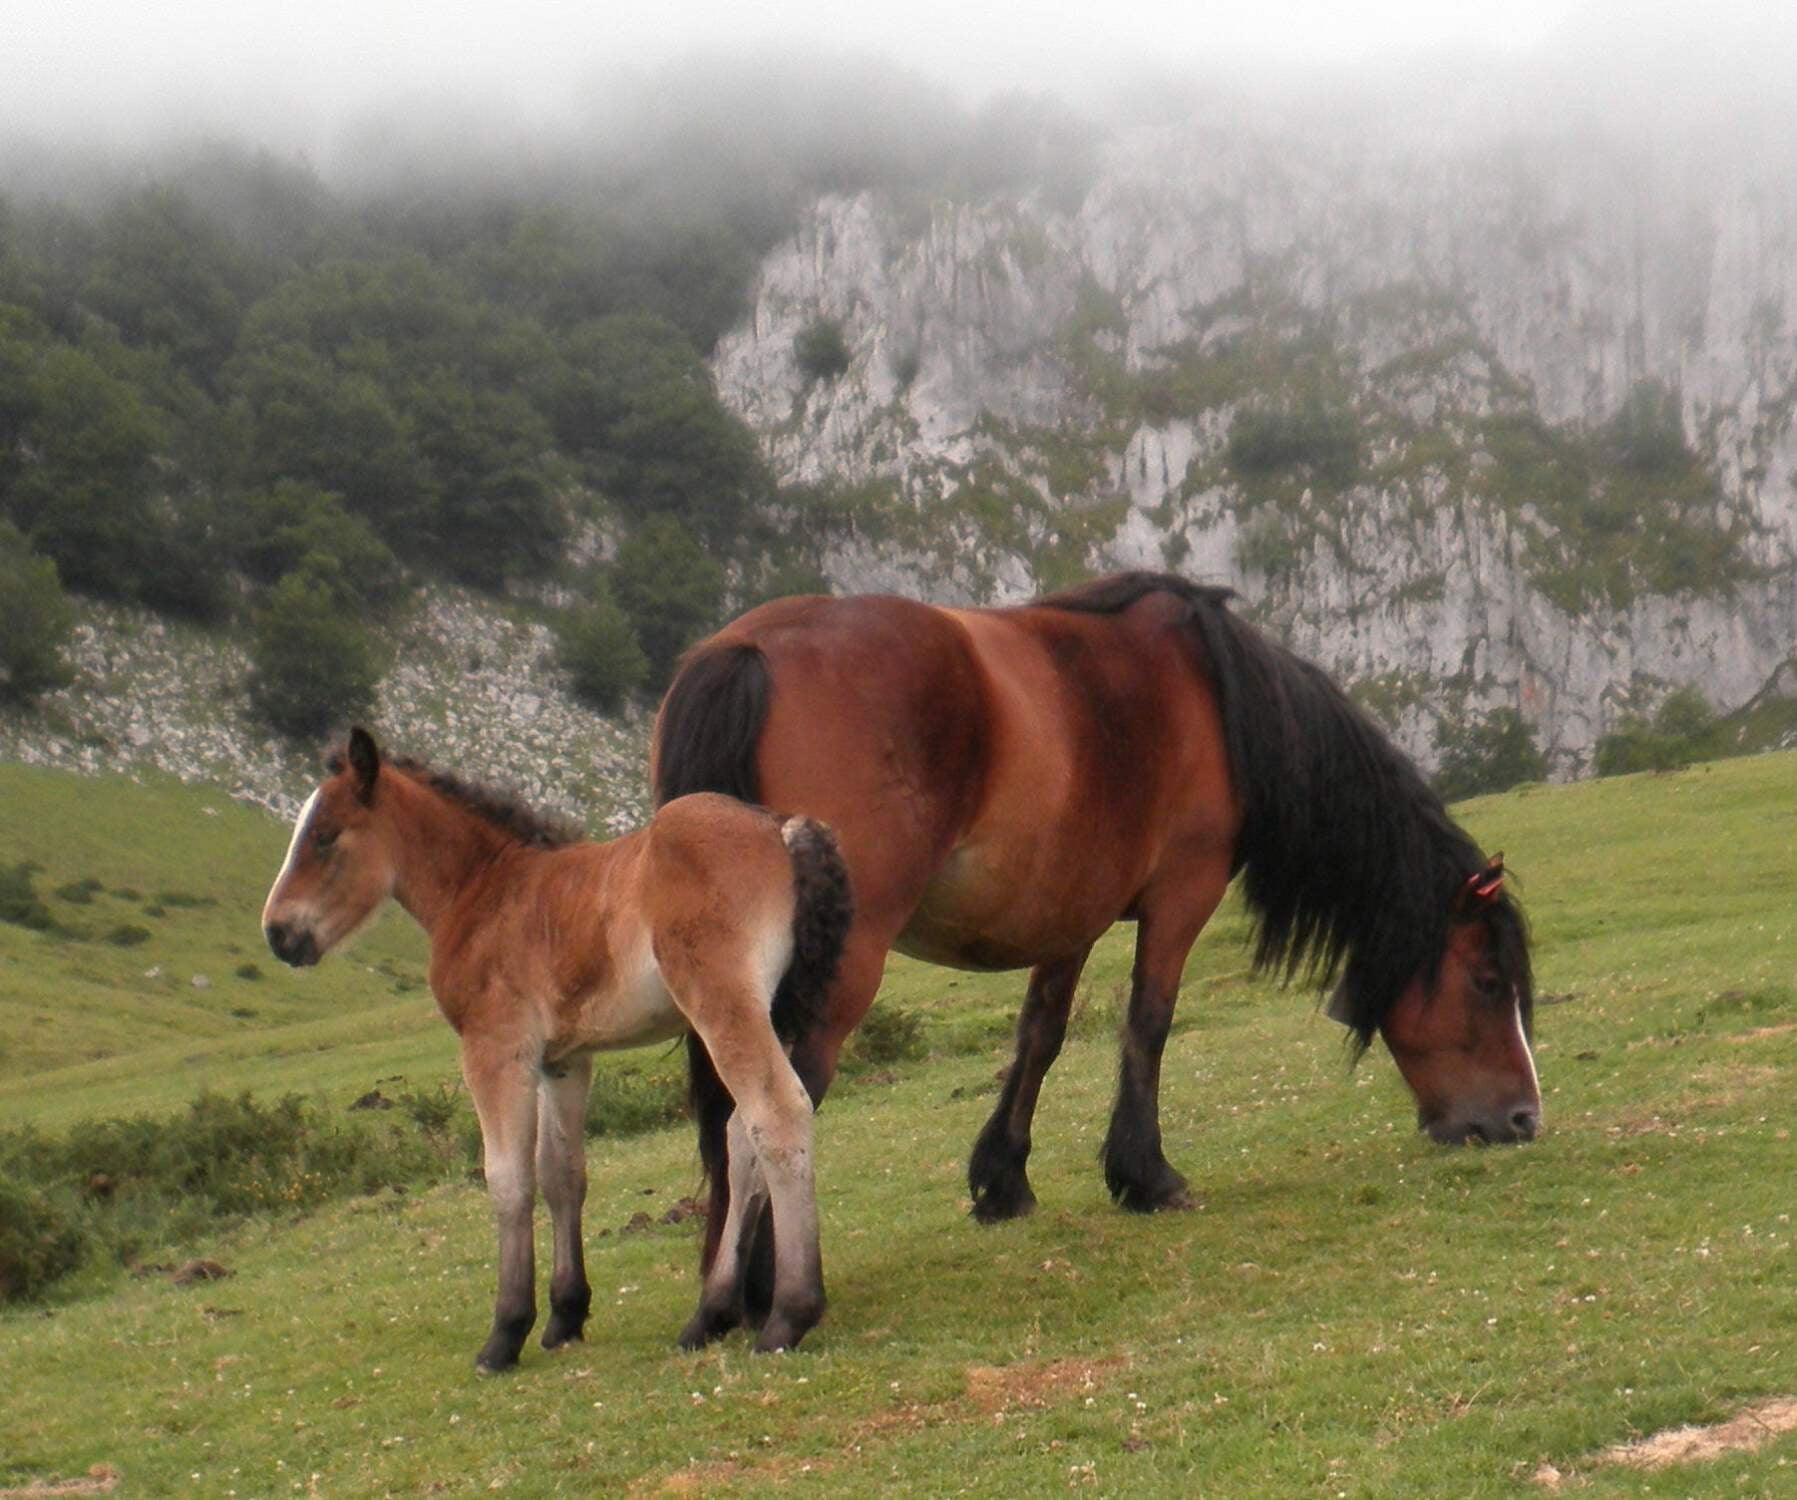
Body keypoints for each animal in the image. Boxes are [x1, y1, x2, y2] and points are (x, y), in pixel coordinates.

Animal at [260, 727, 852, 1370]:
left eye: (324, 835)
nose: (277, 934)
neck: (484, 891)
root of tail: (781, 827)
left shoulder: (495, 1052)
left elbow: (508, 1179)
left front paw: (505, 1333)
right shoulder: (562, 1061)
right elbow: (561, 1172)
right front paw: (566, 1313)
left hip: (723, 1006)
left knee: (776, 1114)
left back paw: (788, 1315)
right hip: (778, 1011)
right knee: (744, 1135)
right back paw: (709, 1314)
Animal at [654, 570, 1538, 1307]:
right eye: (1488, 982)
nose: (1523, 1120)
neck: (1214, 695)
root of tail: (748, 651)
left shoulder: (1068, 913)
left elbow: (1039, 1036)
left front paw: (1002, 1182)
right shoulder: (1181, 895)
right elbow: (1147, 1023)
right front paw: (1146, 1176)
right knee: (781, 1093)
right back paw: (770, 1284)